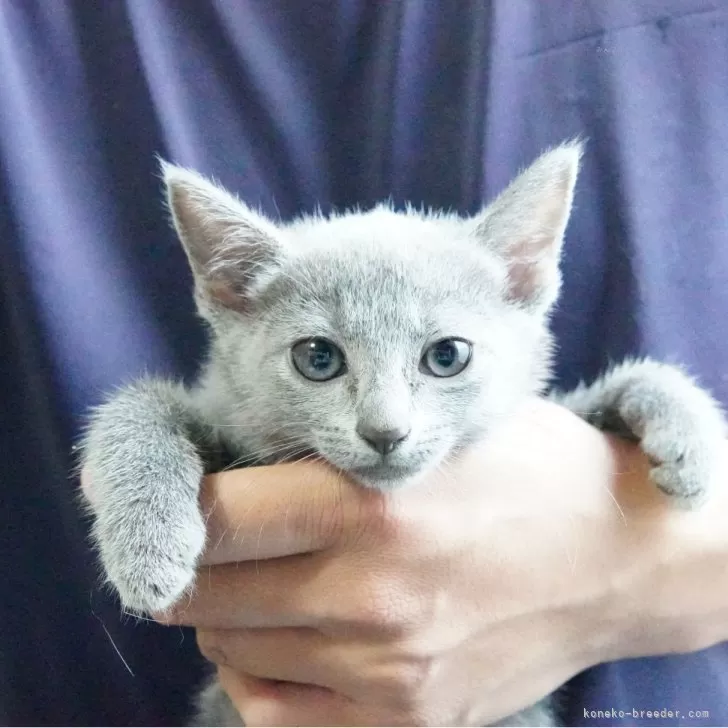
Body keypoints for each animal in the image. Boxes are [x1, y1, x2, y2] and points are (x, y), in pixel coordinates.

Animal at [81, 144, 728, 728]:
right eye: (318, 358)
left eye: (447, 356)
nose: (385, 430)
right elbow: (141, 405)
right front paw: (146, 543)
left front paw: (689, 435)